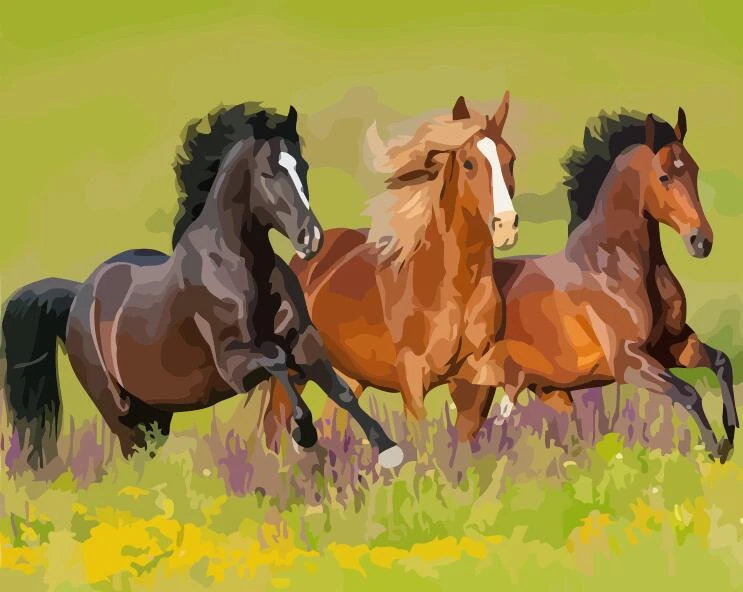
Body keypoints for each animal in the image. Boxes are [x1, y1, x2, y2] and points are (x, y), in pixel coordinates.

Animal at [1, 102, 403, 471]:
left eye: (302, 166)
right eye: (269, 172)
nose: (311, 238)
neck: (242, 267)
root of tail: (78, 296)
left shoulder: (304, 339)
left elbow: (339, 389)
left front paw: (388, 449)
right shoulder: (234, 364)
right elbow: (276, 361)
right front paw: (305, 432)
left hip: (156, 413)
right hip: (121, 414)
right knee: (133, 455)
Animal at [260, 93, 519, 449]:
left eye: (511, 160)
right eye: (469, 164)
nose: (506, 225)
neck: (453, 289)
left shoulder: (475, 382)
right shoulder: (413, 380)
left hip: (349, 375)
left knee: (333, 423)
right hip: (295, 371)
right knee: (275, 428)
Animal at [452, 108, 739, 460]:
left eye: (694, 170)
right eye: (664, 177)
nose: (701, 242)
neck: (617, 267)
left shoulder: (672, 344)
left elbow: (721, 363)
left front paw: (731, 430)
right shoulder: (629, 361)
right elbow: (687, 392)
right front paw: (716, 449)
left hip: (550, 392)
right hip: (474, 392)